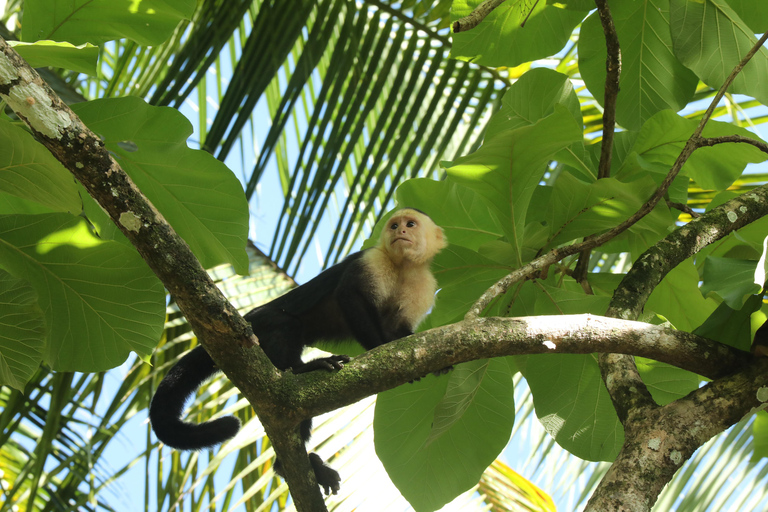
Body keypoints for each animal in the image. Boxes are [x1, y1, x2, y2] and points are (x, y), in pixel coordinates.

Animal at [149, 208, 448, 496]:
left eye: (410, 224)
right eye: (394, 225)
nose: (400, 232)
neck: (402, 266)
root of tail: (245, 319)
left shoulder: (424, 284)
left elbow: (398, 331)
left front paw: (435, 364)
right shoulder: (372, 260)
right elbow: (349, 296)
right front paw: (378, 348)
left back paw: (293, 465)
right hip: (261, 328)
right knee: (287, 329)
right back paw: (302, 370)